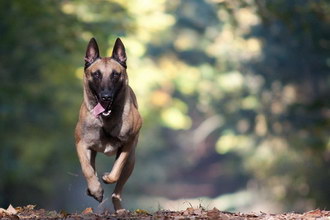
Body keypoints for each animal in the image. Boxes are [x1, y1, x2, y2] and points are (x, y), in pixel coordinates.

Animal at [75, 37, 142, 211]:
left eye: (115, 75)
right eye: (96, 74)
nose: (106, 97)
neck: (105, 121)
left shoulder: (127, 145)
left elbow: (117, 170)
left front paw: (107, 178)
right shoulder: (81, 144)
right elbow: (87, 169)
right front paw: (96, 190)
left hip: (131, 161)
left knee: (117, 191)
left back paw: (119, 207)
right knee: (91, 168)